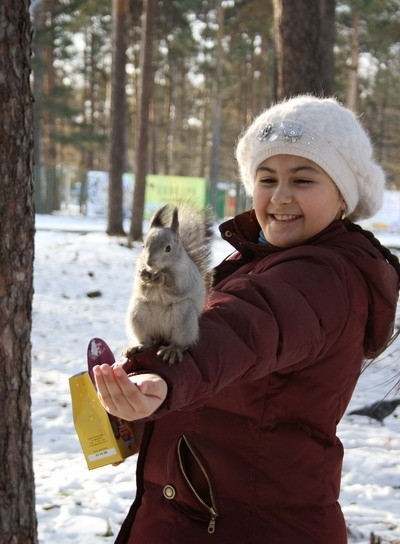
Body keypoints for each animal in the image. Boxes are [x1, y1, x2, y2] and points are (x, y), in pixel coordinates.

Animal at [125, 204, 214, 366]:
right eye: (143, 245)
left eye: (168, 248)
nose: (149, 262)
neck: (161, 268)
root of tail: (162, 333)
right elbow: (141, 286)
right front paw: (144, 275)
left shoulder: (185, 277)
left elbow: (176, 286)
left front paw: (162, 278)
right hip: (137, 314)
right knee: (148, 342)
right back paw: (138, 346)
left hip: (183, 319)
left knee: (181, 342)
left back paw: (172, 350)